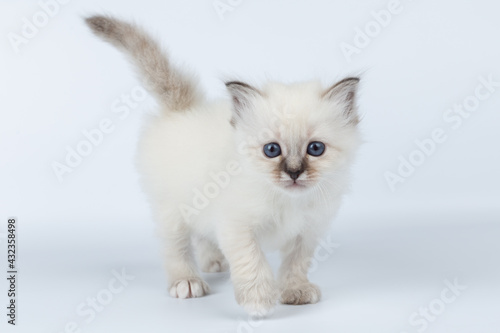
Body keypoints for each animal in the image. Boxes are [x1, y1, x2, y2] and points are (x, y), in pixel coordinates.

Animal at [85, 15, 360, 316]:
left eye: (315, 149)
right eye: (272, 150)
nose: (294, 172)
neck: (288, 201)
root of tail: (184, 108)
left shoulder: (307, 233)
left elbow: (295, 265)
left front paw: (295, 291)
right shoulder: (237, 227)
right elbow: (252, 263)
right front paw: (258, 302)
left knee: (202, 235)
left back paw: (214, 262)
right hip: (171, 211)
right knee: (176, 248)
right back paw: (187, 282)